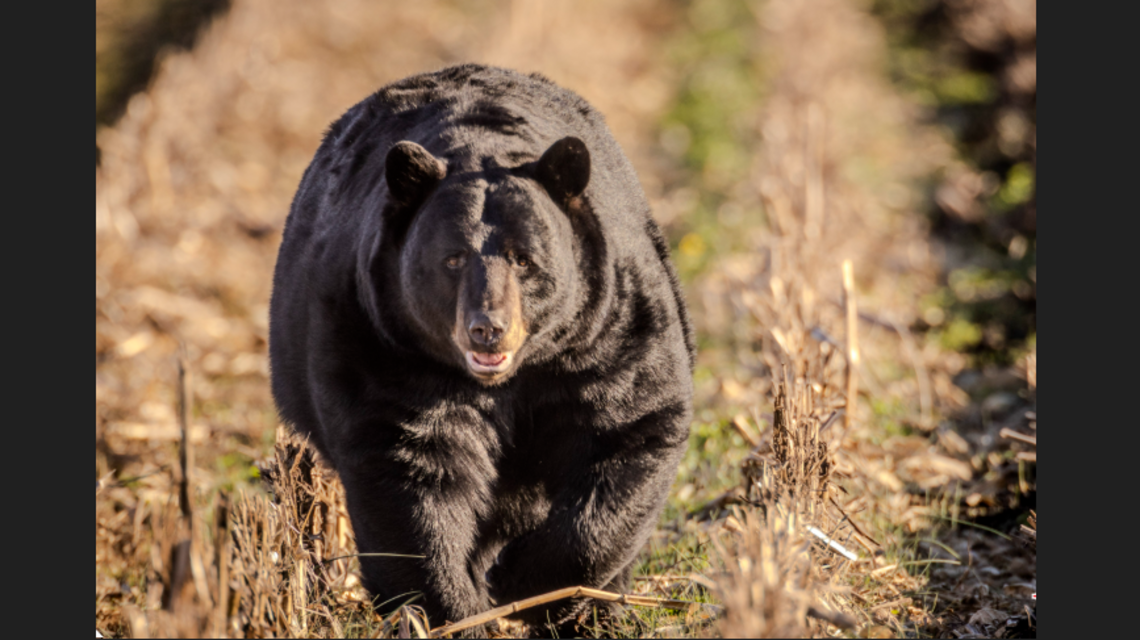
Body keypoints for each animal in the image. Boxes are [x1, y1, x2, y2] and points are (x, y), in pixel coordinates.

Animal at [269, 63, 695, 634]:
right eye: (452, 258)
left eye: (524, 258)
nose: (487, 328)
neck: (509, 379)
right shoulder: (385, 346)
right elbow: (411, 470)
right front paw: (452, 611)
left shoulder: (605, 335)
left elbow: (632, 426)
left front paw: (528, 584)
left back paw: (599, 613)